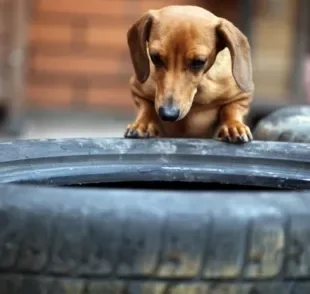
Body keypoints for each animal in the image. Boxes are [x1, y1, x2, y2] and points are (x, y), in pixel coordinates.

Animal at [124, 4, 253, 142]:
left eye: (198, 62)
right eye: (155, 57)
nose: (168, 114)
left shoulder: (241, 96)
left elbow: (231, 109)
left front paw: (233, 126)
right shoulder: (138, 90)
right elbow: (146, 108)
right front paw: (143, 124)